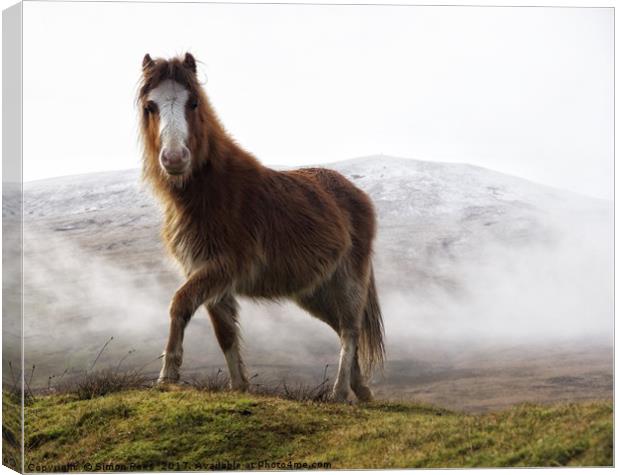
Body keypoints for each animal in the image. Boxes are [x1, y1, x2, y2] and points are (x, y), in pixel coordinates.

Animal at [138, 52, 386, 402]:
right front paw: (240, 387)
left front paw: (167, 375)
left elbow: (180, 303)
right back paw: (360, 390)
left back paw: (338, 393)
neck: (211, 190)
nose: (174, 158)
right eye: (151, 106)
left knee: (350, 330)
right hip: (314, 291)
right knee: (342, 329)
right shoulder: (206, 273)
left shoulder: (223, 267)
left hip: (348, 279)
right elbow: (225, 333)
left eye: (194, 102)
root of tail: (357, 193)